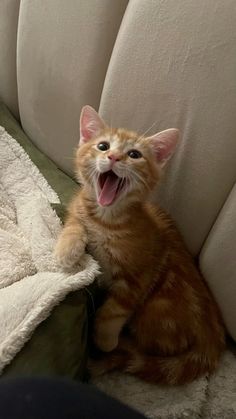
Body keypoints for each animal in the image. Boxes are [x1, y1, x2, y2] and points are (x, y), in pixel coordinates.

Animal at [54, 106, 225, 388]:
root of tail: (213, 335)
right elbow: (74, 223)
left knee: (148, 349)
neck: (105, 221)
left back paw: (118, 349)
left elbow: (115, 309)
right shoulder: (78, 209)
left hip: (158, 308)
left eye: (134, 154)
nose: (113, 156)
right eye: (102, 146)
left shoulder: (143, 273)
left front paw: (105, 338)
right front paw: (66, 250)